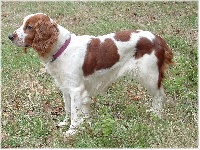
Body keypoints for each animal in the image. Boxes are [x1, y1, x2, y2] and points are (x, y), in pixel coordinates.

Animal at [8, 13, 173, 137]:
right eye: (23, 24)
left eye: (29, 27)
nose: (10, 36)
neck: (62, 48)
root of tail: (158, 38)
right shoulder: (66, 88)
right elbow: (69, 108)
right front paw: (68, 123)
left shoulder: (76, 89)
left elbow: (75, 112)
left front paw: (72, 131)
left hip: (149, 75)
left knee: (159, 96)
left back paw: (156, 115)